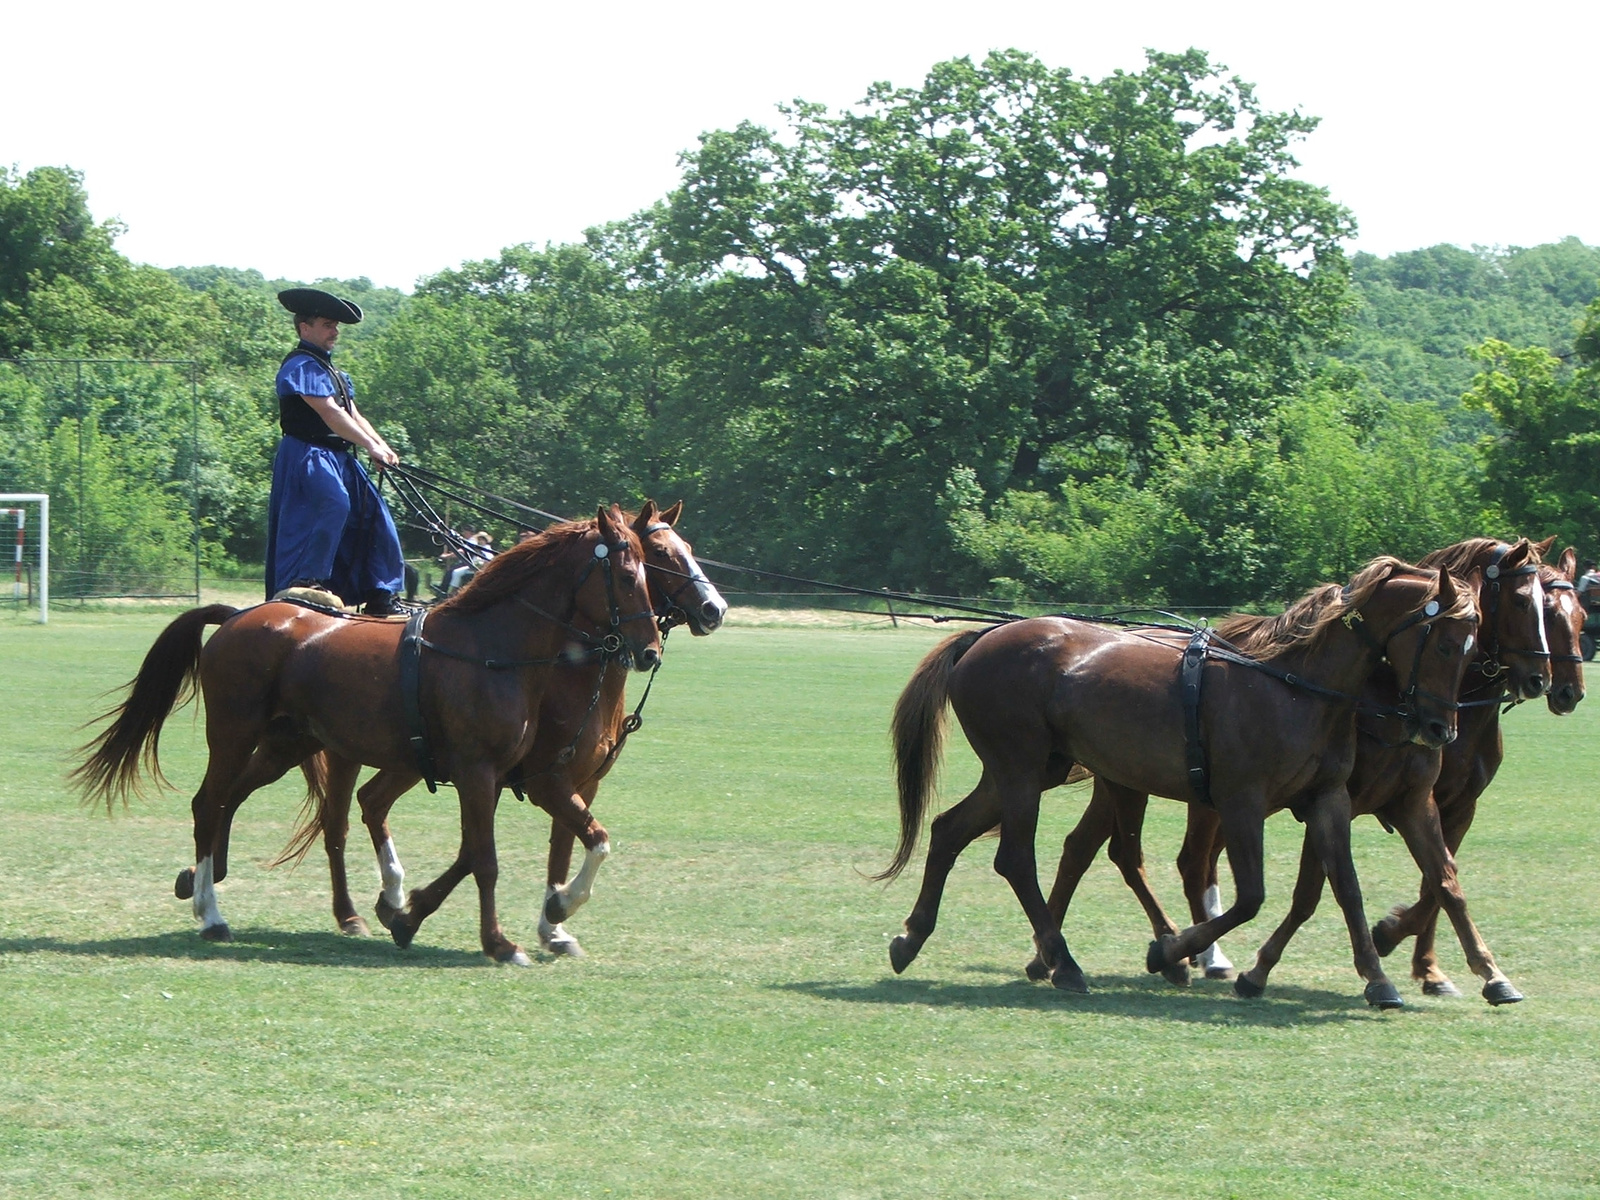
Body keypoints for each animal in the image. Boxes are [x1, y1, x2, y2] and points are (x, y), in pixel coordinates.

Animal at [73, 505, 662, 960]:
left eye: (650, 573)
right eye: (627, 576)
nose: (650, 650)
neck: (493, 647)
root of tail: (239, 616)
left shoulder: (506, 777)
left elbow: (502, 848)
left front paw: (415, 913)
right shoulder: (483, 772)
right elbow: (487, 860)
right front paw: (499, 942)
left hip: (287, 743)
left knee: (234, 801)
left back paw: (208, 887)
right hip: (236, 735)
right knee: (209, 805)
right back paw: (212, 913)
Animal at [283, 499, 732, 960]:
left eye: (685, 548)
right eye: (658, 553)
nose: (714, 609)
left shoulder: (571, 783)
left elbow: (547, 848)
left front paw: (551, 924)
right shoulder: (542, 781)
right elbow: (562, 843)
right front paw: (550, 912)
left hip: (407, 760)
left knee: (372, 802)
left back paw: (390, 898)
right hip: (345, 753)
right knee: (337, 824)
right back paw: (350, 913)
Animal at [889, 560, 1472, 1011]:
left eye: (1470, 647)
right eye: (1445, 645)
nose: (1441, 730)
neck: (1294, 688)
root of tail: (985, 637)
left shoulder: (1329, 800)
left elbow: (1346, 887)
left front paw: (1378, 978)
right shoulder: (1241, 804)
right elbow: (1250, 897)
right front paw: (1169, 951)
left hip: (1030, 771)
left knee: (948, 831)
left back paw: (912, 937)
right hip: (1021, 771)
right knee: (1015, 859)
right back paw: (1064, 960)